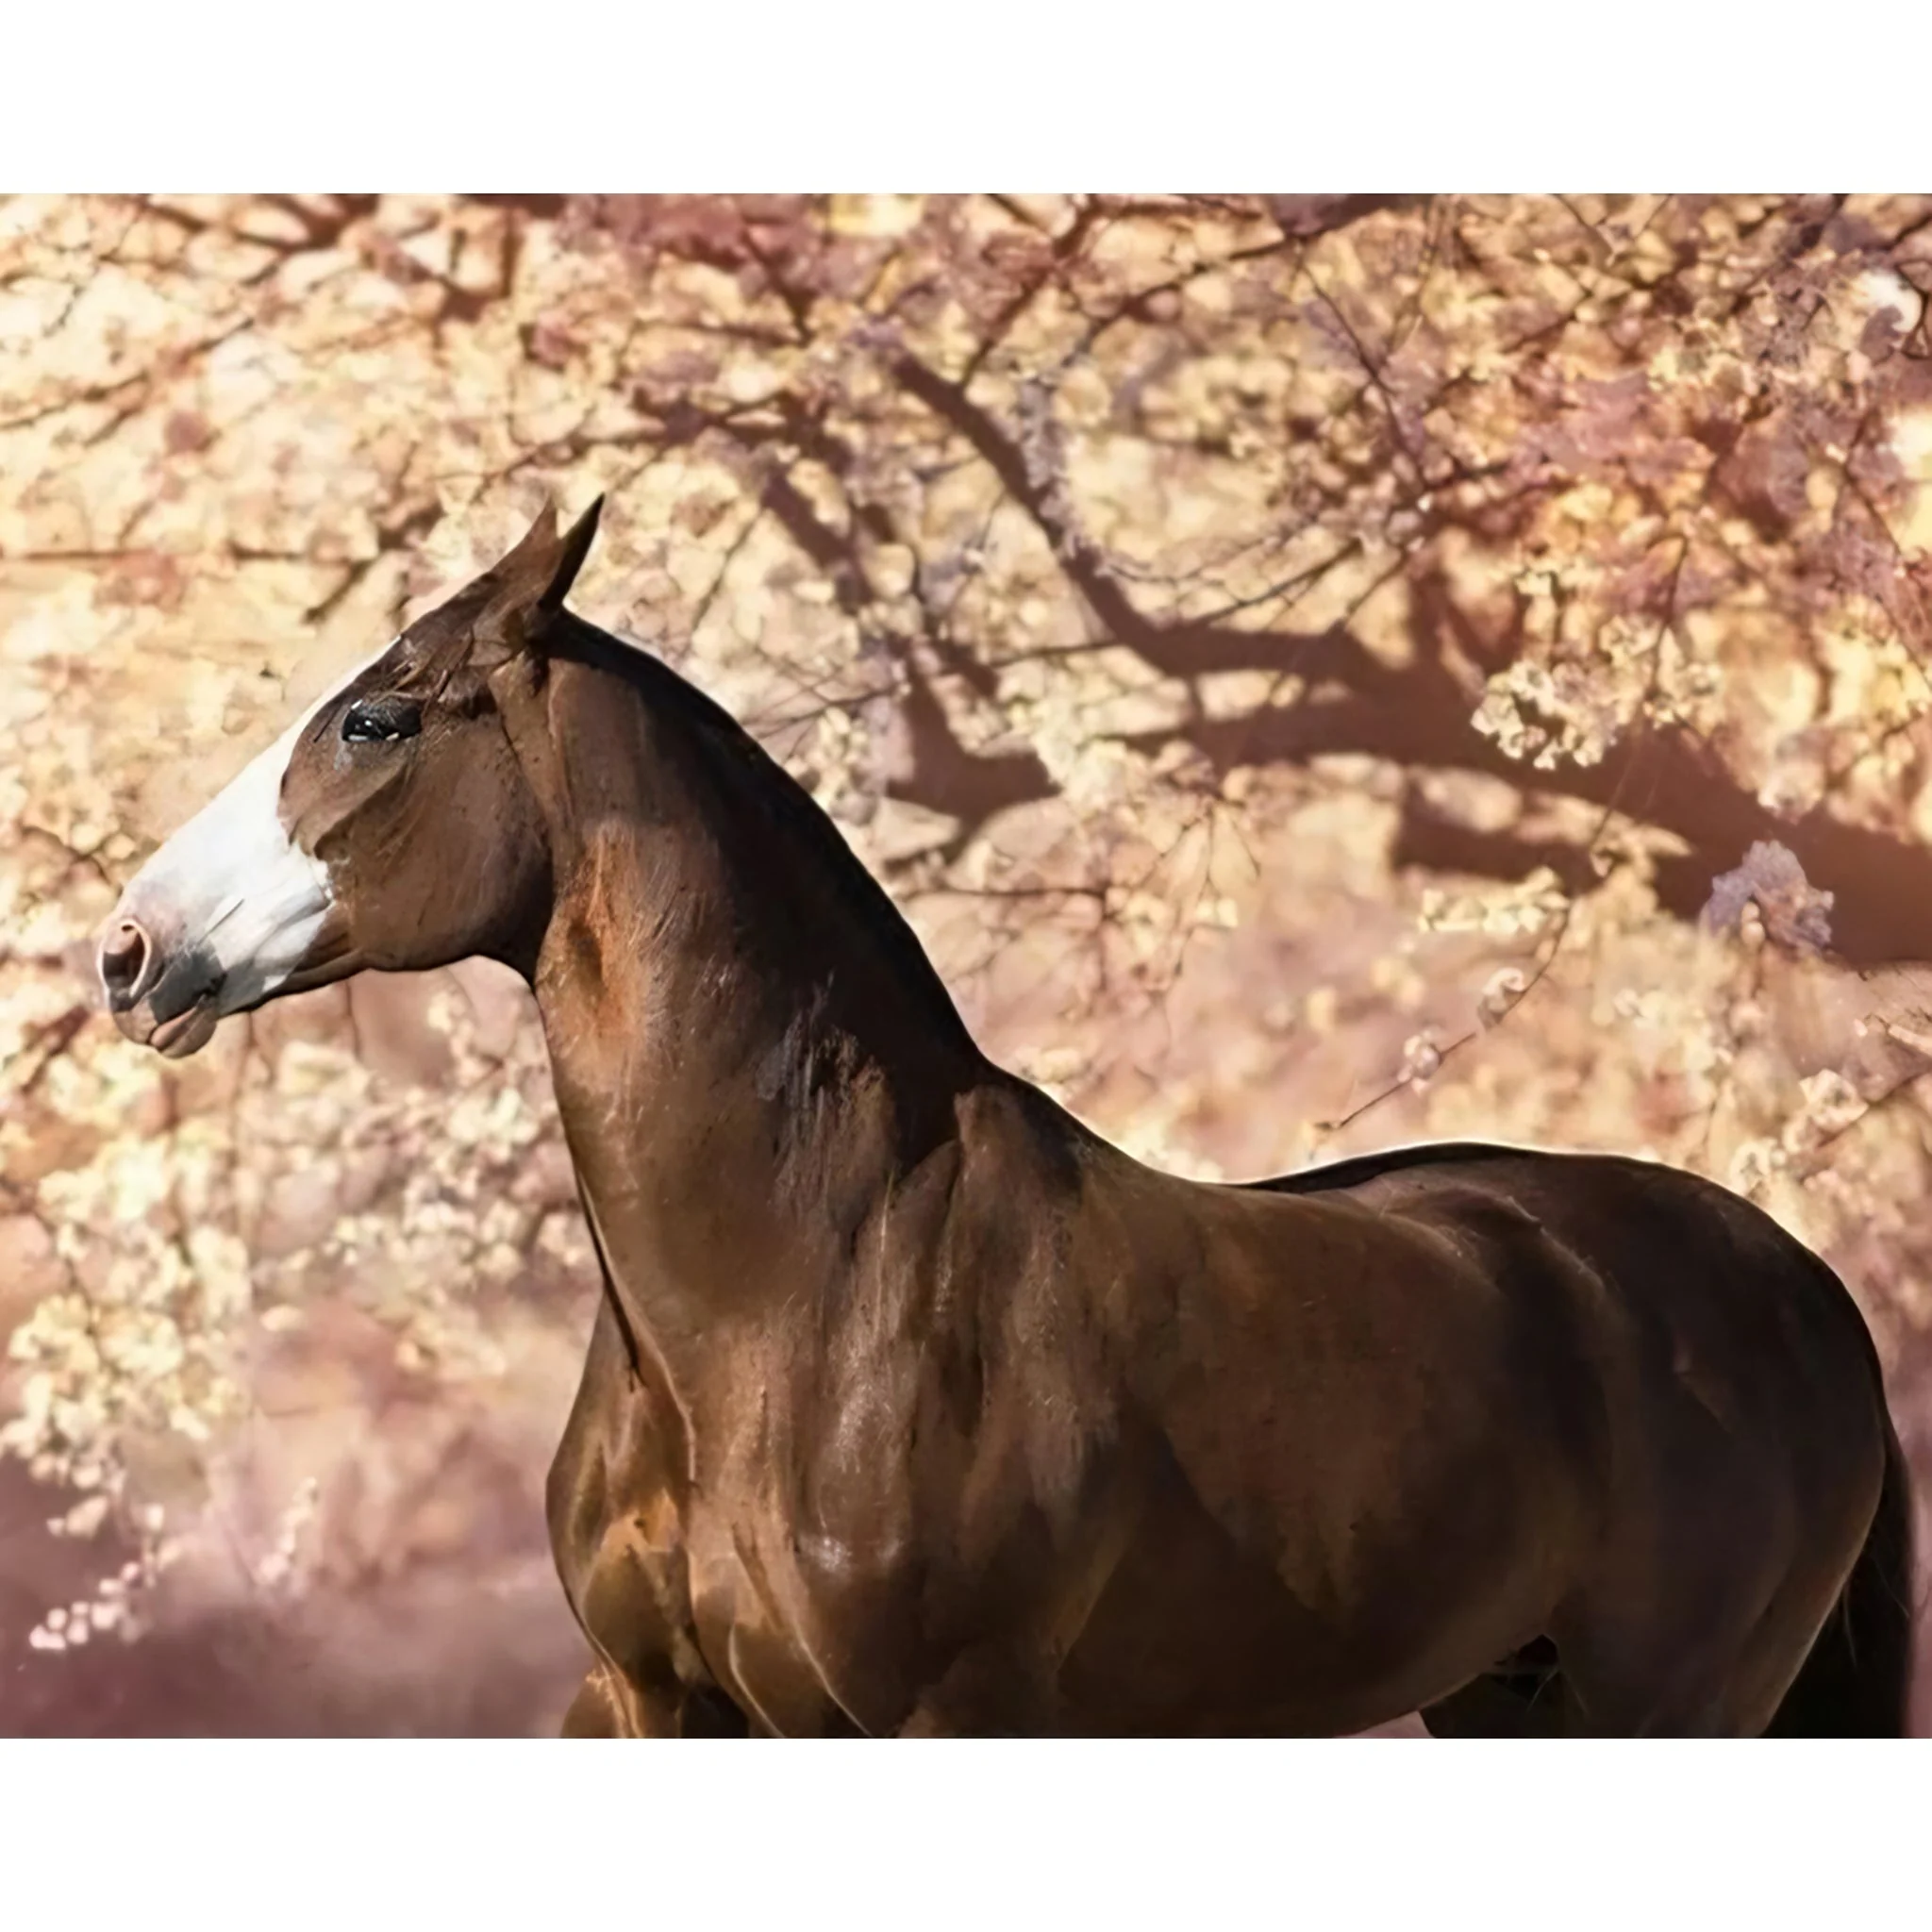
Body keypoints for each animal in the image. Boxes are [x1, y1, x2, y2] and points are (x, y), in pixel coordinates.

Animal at [96, 499, 1915, 1735]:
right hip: (1501, 1697)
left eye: (375, 718)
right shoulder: (650, 1703)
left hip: (1664, 1705)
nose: (128, 948)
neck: (798, 1290)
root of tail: (1798, 1286)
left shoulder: (936, 1716)